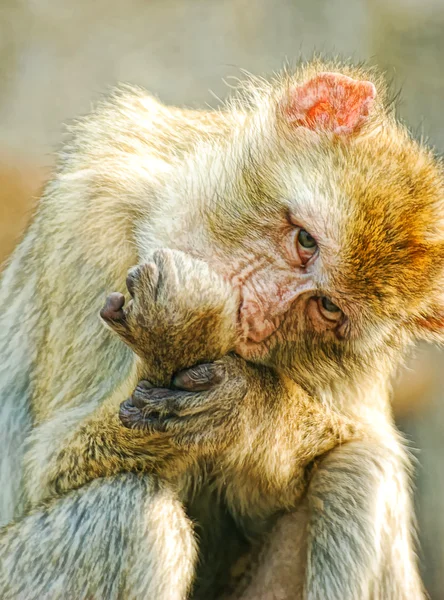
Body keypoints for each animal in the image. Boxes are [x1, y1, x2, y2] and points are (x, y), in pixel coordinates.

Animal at [0, 57, 444, 600]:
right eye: (304, 240)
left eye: (327, 308)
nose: (256, 315)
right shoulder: (90, 218)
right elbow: (47, 468)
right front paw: (179, 338)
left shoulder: (353, 368)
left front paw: (247, 407)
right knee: (131, 516)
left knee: (361, 469)